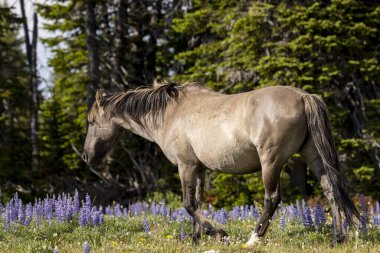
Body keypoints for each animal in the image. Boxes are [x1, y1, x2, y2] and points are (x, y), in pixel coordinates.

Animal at [82, 81, 360, 247]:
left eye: (92, 121)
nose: (86, 157)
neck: (169, 114)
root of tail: (303, 96)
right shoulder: (199, 169)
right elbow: (196, 203)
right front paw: (196, 238)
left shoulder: (186, 166)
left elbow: (188, 204)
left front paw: (218, 233)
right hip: (313, 155)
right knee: (331, 191)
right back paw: (338, 238)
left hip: (271, 161)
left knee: (272, 199)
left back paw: (253, 239)